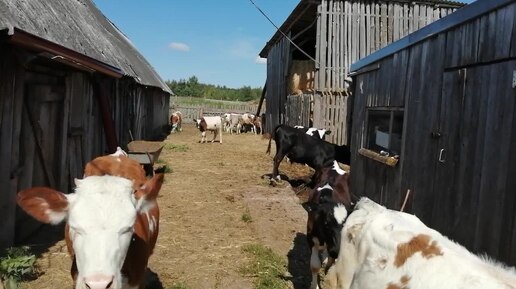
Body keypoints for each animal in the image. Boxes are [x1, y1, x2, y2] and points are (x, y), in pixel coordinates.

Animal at [302, 160, 354, 288]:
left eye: (346, 225)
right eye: (326, 222)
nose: (336, 251)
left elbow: (330, 265)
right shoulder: (310, 236)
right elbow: (315, 265)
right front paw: (314, 286)